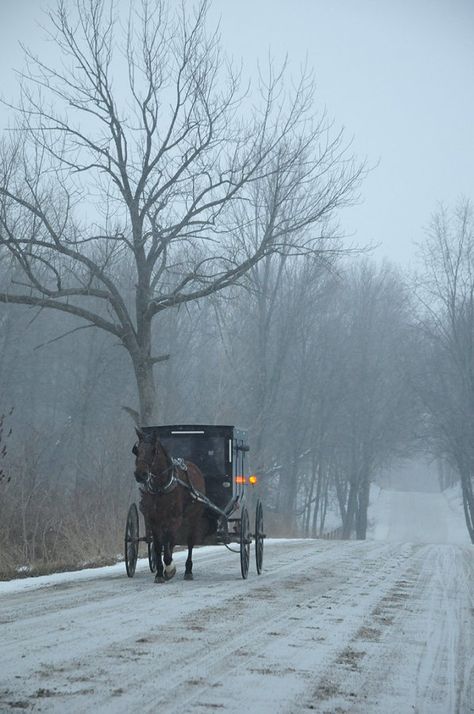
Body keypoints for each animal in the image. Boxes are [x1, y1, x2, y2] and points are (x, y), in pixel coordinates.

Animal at [133, 426, 207, 580]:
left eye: (153, 450)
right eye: (137, 450)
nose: (140, 474)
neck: (161, 487)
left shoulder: (174, 518)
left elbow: (168, 543)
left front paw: (169, 568)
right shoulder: (153, 520)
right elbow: (158, 545)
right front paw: (160, 573)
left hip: (192, 517)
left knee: (189, 541)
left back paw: (188, 570)